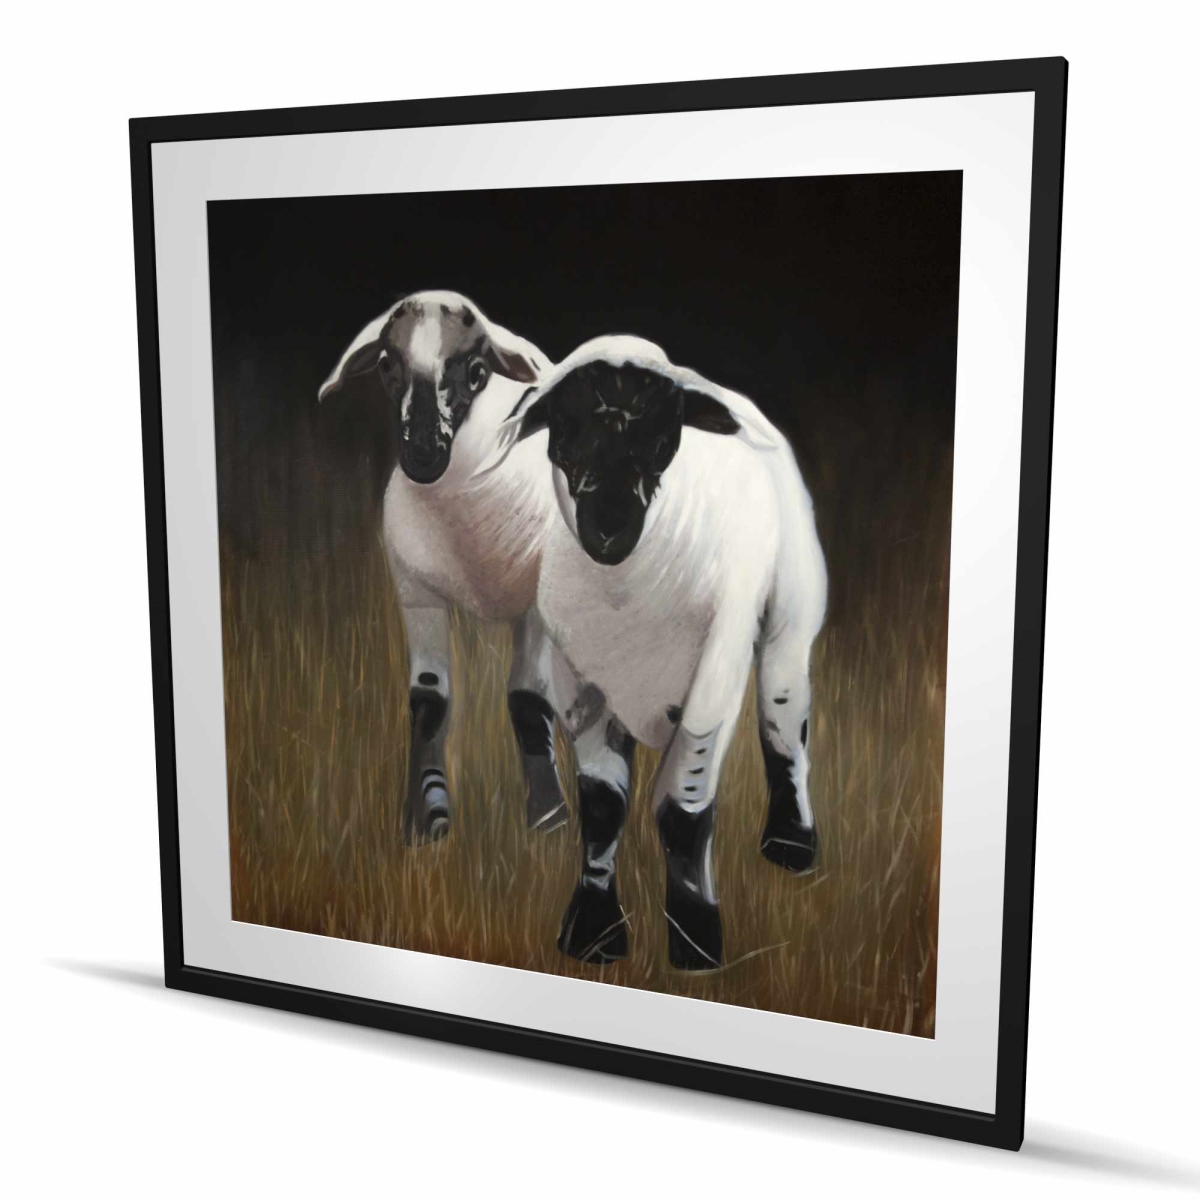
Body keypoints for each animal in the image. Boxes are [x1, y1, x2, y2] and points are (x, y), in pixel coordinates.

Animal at [319, 290, 579, 843]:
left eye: (477, 370)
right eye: (385, 364)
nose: (422, 452)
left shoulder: (537, 607)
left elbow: (527, 699)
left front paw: (548, 819)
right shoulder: (417, 595)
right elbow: (428, 701)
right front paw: (427, 819)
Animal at [487, 335, 828, 969]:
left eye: (666, 437)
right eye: (562, 430)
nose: (609, 527)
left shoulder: (714, 677)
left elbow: (682, 807)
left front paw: (696, 941)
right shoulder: (581, 681)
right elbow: (602, 805)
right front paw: (593, 933)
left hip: (790, 615)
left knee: (784, 718)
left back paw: (792, 842)